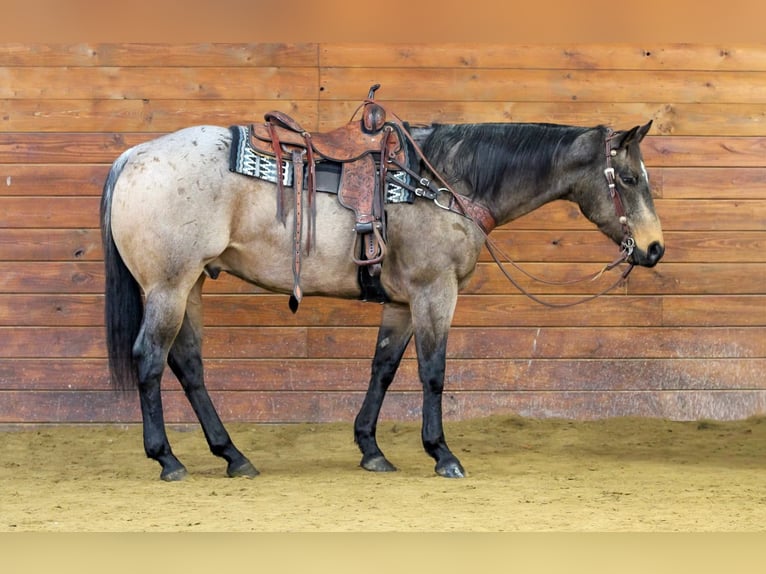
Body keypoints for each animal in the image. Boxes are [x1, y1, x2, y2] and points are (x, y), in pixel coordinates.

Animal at [101, 114, 664, 481]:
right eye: (629, 178)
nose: (655, 248)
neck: (442, 182)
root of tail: (133, 156)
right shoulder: (435, 291)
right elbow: (433, 372)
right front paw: (442, 454)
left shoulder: (400, 302)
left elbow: (384, 368)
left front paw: (371, 449)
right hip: (169, 286)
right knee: (150, 360)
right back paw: (168, 459)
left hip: (190, 284)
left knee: (189, 365)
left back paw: (232, 456)